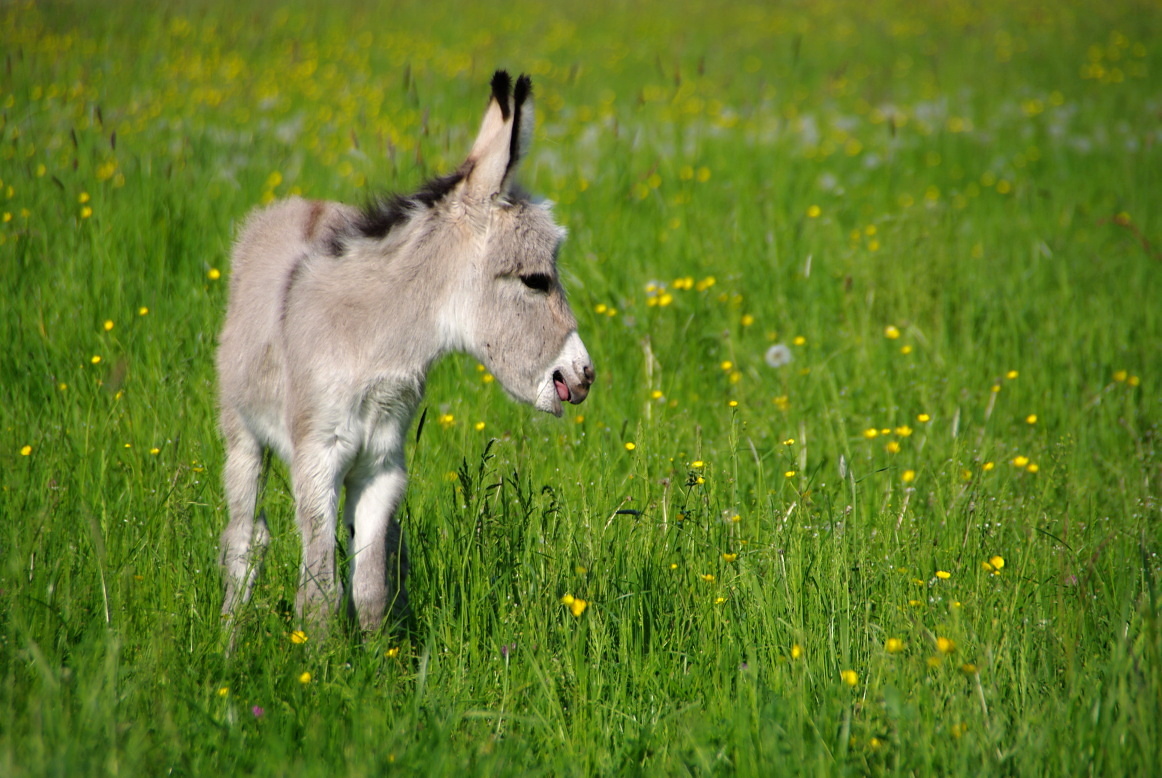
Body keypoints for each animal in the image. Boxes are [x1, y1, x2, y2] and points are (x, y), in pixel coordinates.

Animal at [217, 71, 594, 631]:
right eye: (535, 280)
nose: (582, 375)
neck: (373, 340)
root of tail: (297, 203)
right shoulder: (317, 459)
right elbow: (320, 599)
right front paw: (319, 653)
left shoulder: (382, 466)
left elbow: (371, 589)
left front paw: (379, 654)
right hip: (241, 434)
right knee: (245, 537)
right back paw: (229, 634)